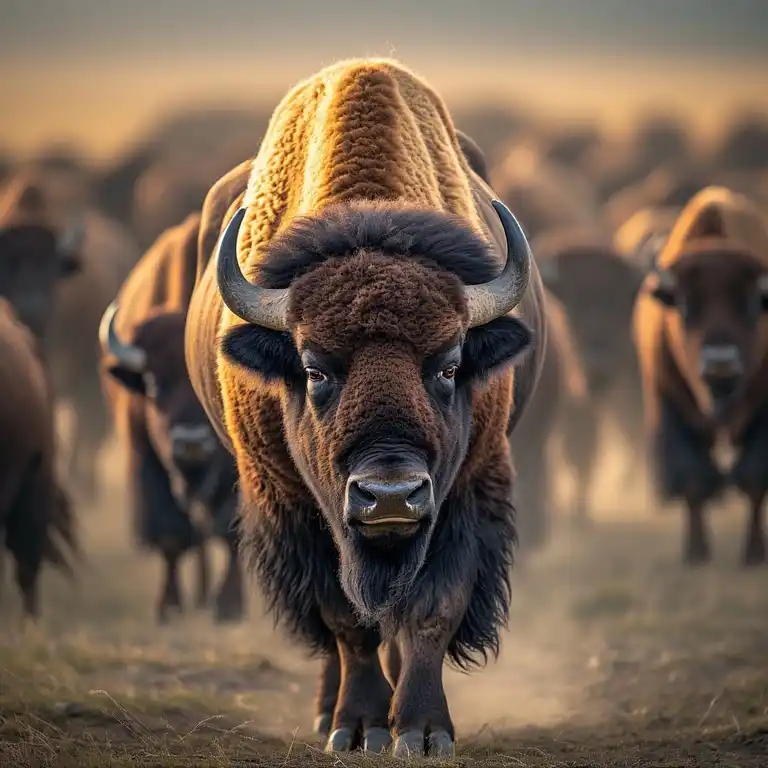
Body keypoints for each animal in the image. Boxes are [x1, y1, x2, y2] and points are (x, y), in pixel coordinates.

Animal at [100, 213, 244, 623]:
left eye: (214, 382)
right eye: (151, 383)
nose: (190, 442)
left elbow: (228, 529)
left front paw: (229, 605)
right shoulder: (144, 457)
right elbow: (169, 532)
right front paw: (168, 605)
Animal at [185, 59, 545, 757]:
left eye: (450, 365)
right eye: (314, 369)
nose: (390, 497)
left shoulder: (468, 489)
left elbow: (431, 610)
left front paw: (423, 732)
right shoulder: (294, 503)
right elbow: (346, 620)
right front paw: (360, 728)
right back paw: (330, 713)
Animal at [633, 186, 768, 565]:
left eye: (751, 304)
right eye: (685, 305)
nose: (720, 364)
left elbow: (755, 476)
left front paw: (754, 554)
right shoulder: (671, 405)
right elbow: (692, 478)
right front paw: (696, 552)